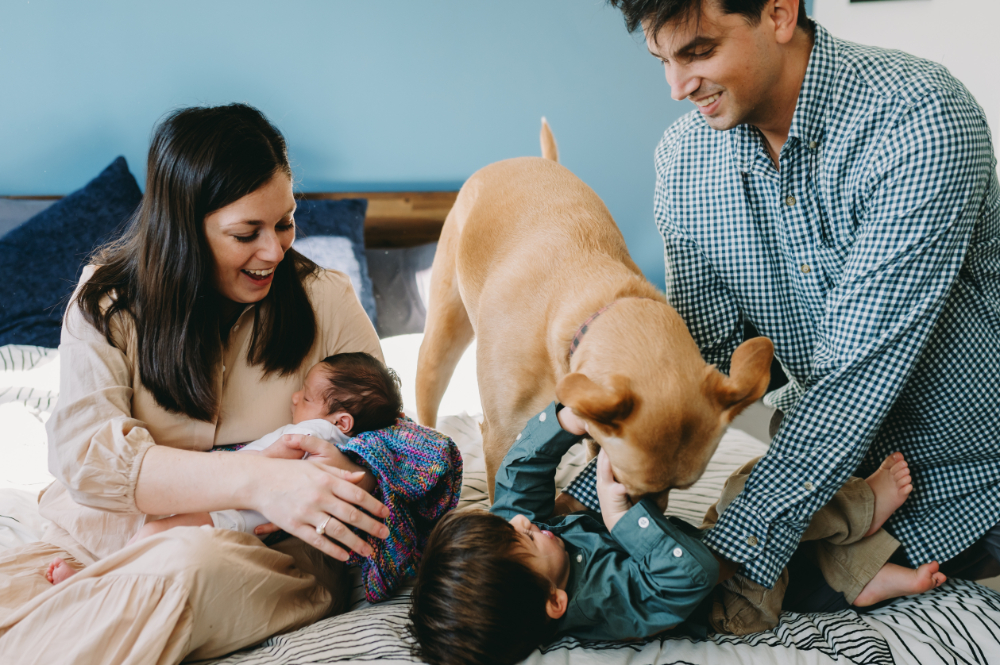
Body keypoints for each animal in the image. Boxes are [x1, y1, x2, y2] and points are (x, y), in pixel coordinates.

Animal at [414, 120, 772, 504]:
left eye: (678, 490)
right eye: (627, 486)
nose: (652, 515)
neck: (592, 303)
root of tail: (527, 159)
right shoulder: (501, 439)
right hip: (441, 343)